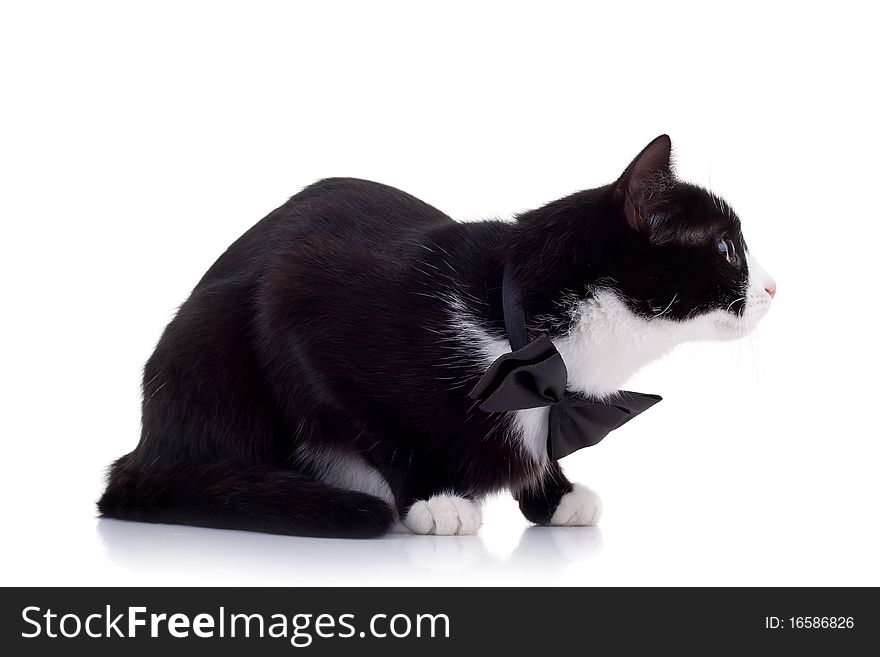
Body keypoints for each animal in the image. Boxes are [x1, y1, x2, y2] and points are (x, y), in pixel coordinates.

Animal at [99, 135, 776, 540]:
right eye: (727, 249)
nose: (774, 286)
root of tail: (145, 448)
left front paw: (553, 495)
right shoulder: (298, 301)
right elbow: (375, 426)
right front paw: (434, 497)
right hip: (209, 344)